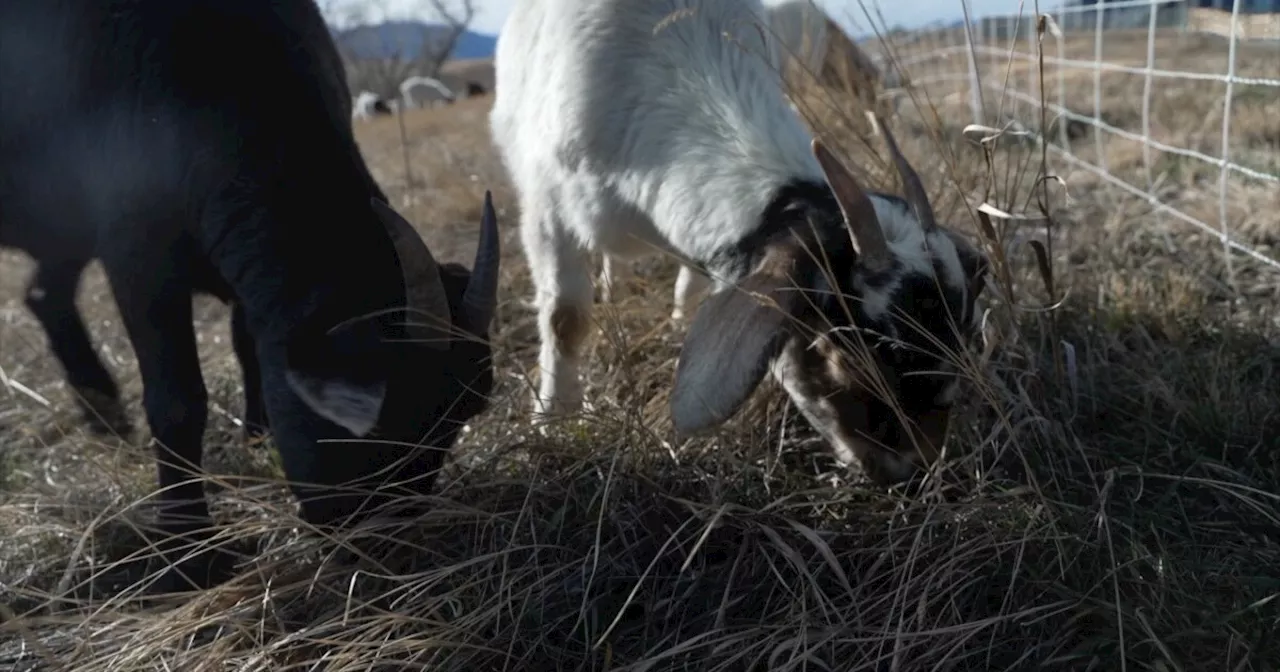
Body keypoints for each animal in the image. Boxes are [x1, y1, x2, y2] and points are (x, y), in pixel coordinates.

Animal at [0, 0, 501, 588]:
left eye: (456, 421)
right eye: (383, 431)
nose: (384, 546)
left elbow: (249, 348)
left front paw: (256, 436)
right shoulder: (135, 254)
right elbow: (177, 401)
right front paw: (189, 547)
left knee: (43, 295)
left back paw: (103, 410)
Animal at [488, 0, 988, 481]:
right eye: (850, 358)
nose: (913, 471)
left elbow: (692, 280)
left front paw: (679, 321)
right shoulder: (546, 208)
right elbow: (565, 320)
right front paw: (552, 420)